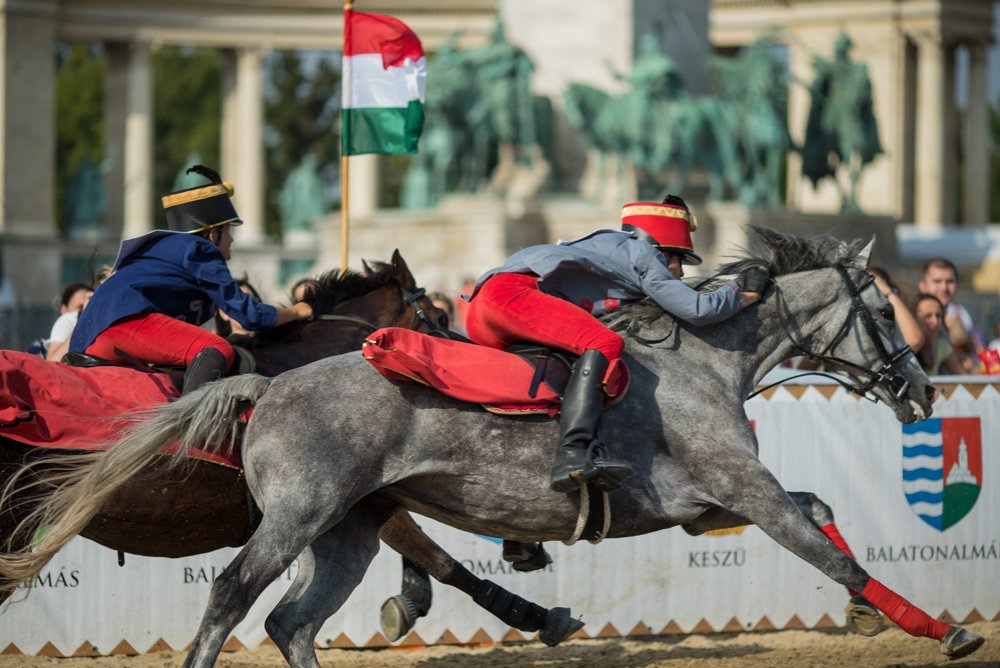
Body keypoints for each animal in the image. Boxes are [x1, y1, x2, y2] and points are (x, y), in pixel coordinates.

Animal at [0, 227, 984, 664]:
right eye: (884, 310)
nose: (922, 389)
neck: (708, 359)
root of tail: (267, 387)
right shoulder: (743, 491)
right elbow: (829, 548)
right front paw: (941, 629)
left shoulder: (708, 507)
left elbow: (825, 515)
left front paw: (875, 617)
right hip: (297, 518)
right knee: (233, 597)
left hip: (347, 530)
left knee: (290, 621)